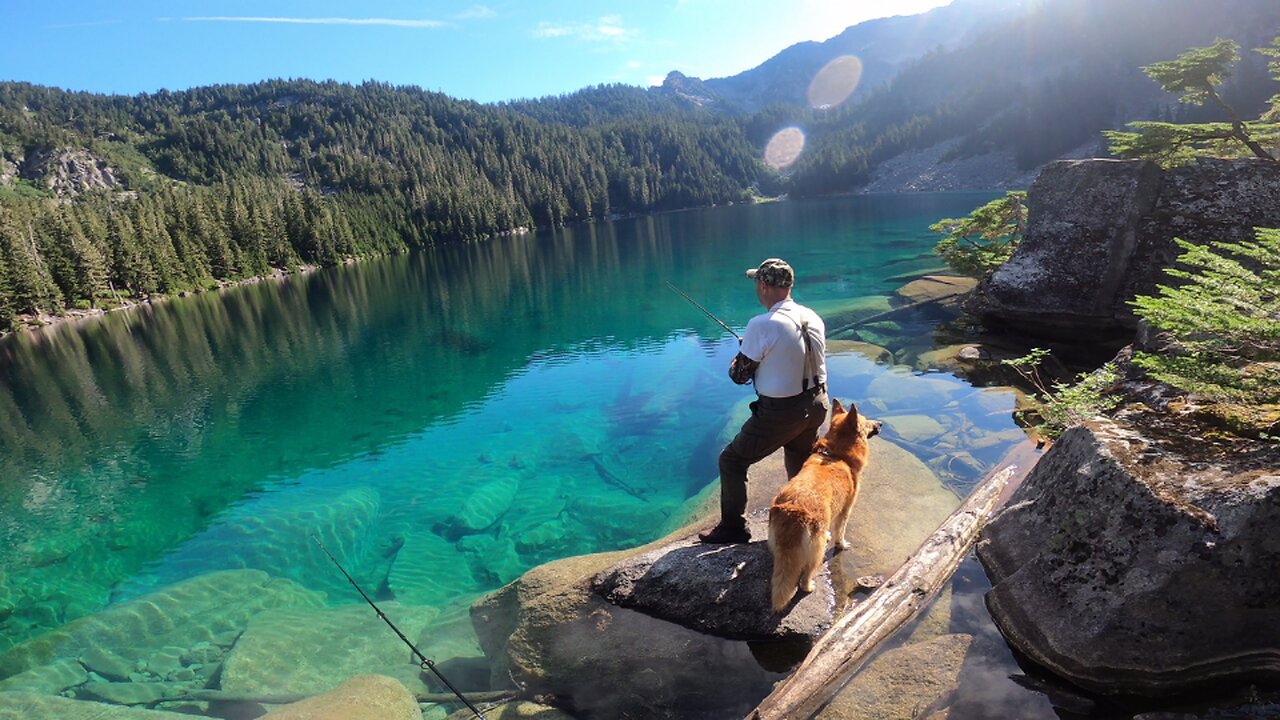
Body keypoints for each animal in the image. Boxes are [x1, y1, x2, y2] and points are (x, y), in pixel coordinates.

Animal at [762, 397, 875, 609]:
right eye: (865, 422)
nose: (880, 424)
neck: (837, 455)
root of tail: (793, 510)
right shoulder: (845, 511)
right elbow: (840, 532)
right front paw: (841, 544)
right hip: (816, 552)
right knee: (805, 574)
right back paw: (809, 587)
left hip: (777, 544)